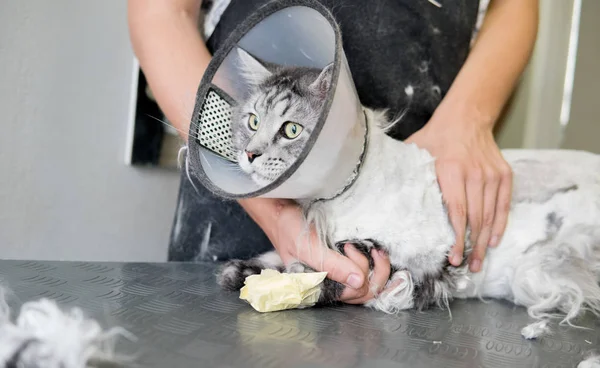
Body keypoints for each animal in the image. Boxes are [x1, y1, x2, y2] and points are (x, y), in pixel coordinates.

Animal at [218, 47, 600, 340]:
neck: (329, 205)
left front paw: (288, 284)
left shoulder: (432, 261)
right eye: (253, 122)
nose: (249, 154)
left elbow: (339, 277)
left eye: (291, 130)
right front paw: (243, 273)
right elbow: (284, 258)